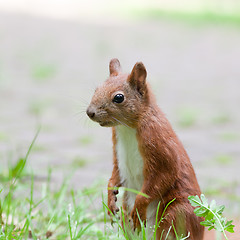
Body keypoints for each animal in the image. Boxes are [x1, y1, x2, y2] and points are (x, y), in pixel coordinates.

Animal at [86, 58, 204, 240]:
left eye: (119, 97)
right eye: (96, 89)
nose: (89, 112)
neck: (126, 128)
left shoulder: (160, 145)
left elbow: (162, 178)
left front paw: (139, 206)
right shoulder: (117, 152)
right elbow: (115, 174)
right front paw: (110, 197)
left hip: (177, 213)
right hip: (126, 215)